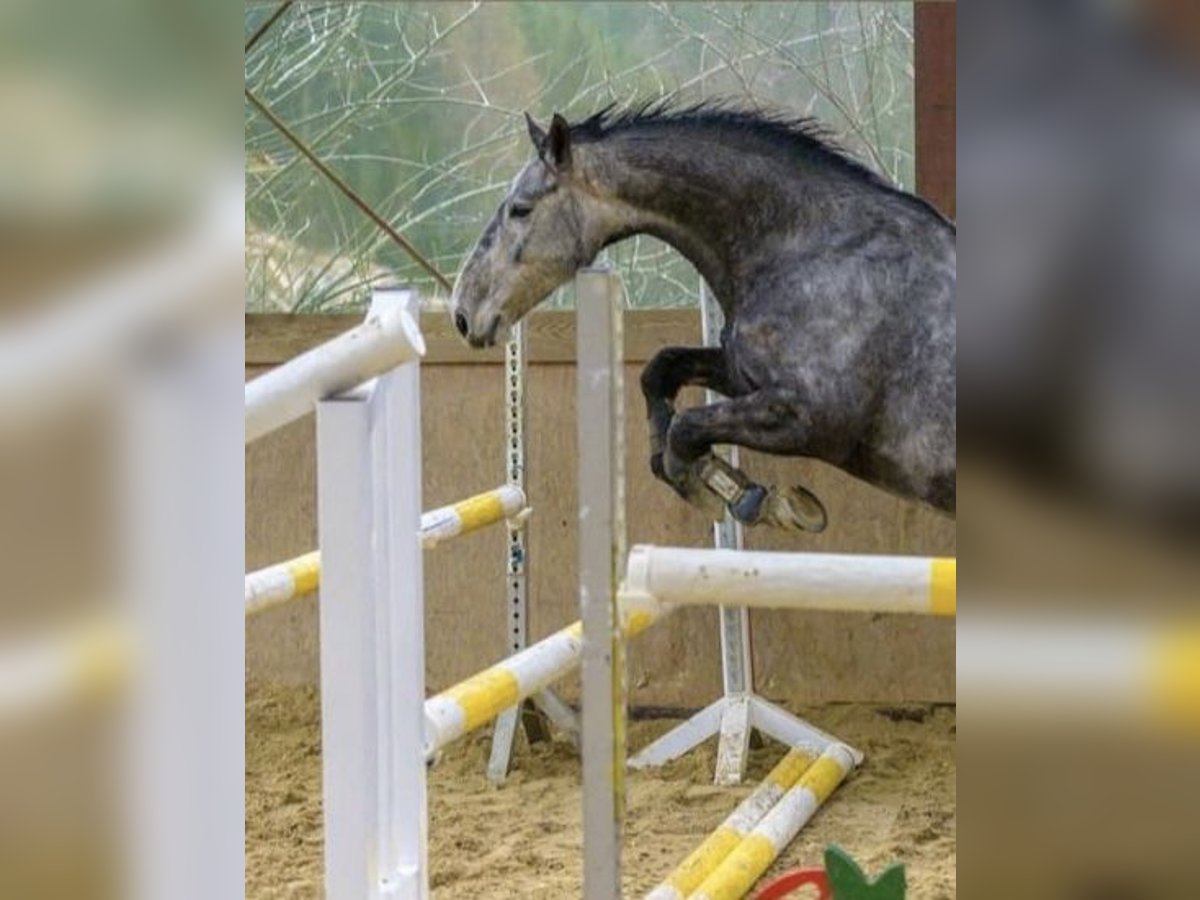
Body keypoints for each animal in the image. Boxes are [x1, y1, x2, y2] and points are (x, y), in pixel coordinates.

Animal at [451, 102, 955, 532]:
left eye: (521, 209)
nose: (462, 314)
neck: (805, 246)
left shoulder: (810, 417)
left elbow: (688, 426)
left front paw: (721, 490)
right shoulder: (742, 376)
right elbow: (661, 371)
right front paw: (725, 485)